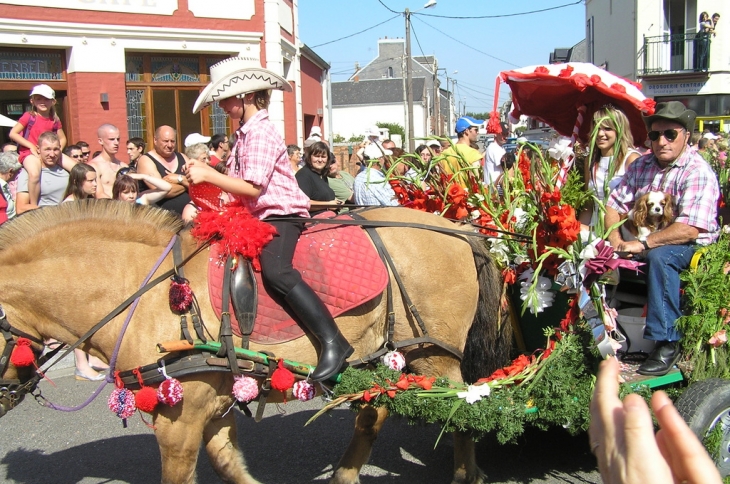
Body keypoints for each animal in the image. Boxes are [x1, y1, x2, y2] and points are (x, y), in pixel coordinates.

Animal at [0, 200, 512, 484]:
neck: (143, 294)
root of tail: (458, 229)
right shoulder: (214, 409)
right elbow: (231, 466)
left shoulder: (178, 423)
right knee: (375, 412)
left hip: (434, 355)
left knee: (464, 406)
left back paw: (466, 473)